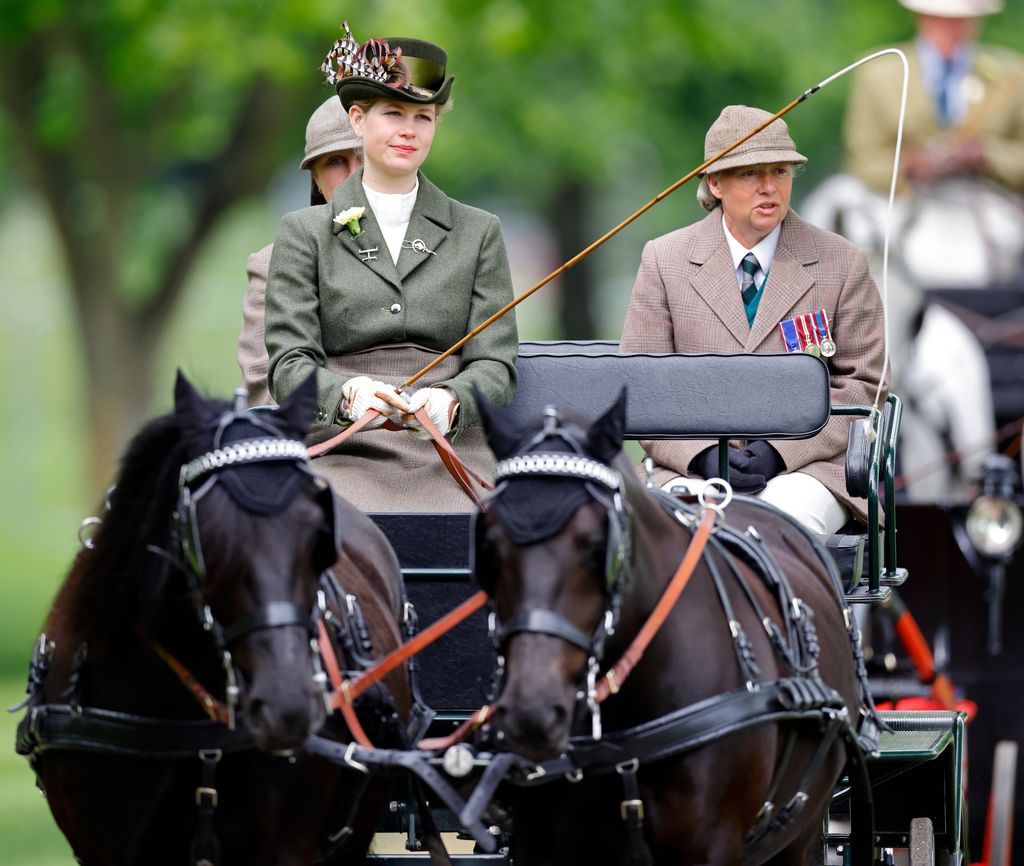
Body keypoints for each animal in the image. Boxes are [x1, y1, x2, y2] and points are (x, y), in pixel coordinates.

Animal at [475, 395, 876, 866]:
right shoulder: (537, 846)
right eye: (489, 547)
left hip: (801, 831)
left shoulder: (713, 845)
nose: (531, 714)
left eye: (600, 548)